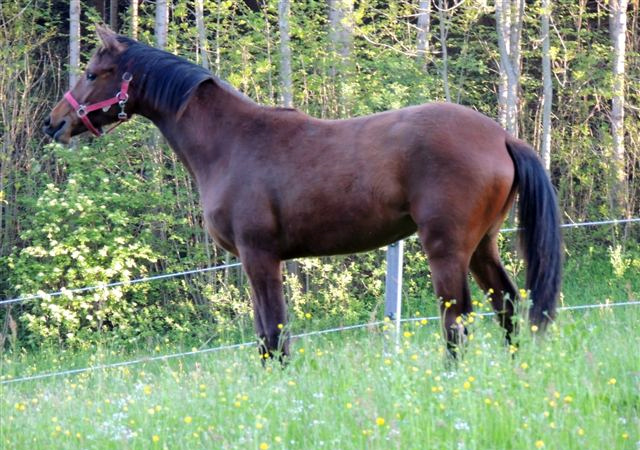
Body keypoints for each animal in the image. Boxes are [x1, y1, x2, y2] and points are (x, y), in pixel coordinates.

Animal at [43, 27, 560, 358]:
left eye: (93, 73)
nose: (55, 123)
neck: (231, 141)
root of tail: (501, 136)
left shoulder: (260, 257)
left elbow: (273, 336)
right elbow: (265, 337)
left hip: (447, 250)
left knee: (458, 323)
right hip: (482, 246)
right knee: (507, 305)